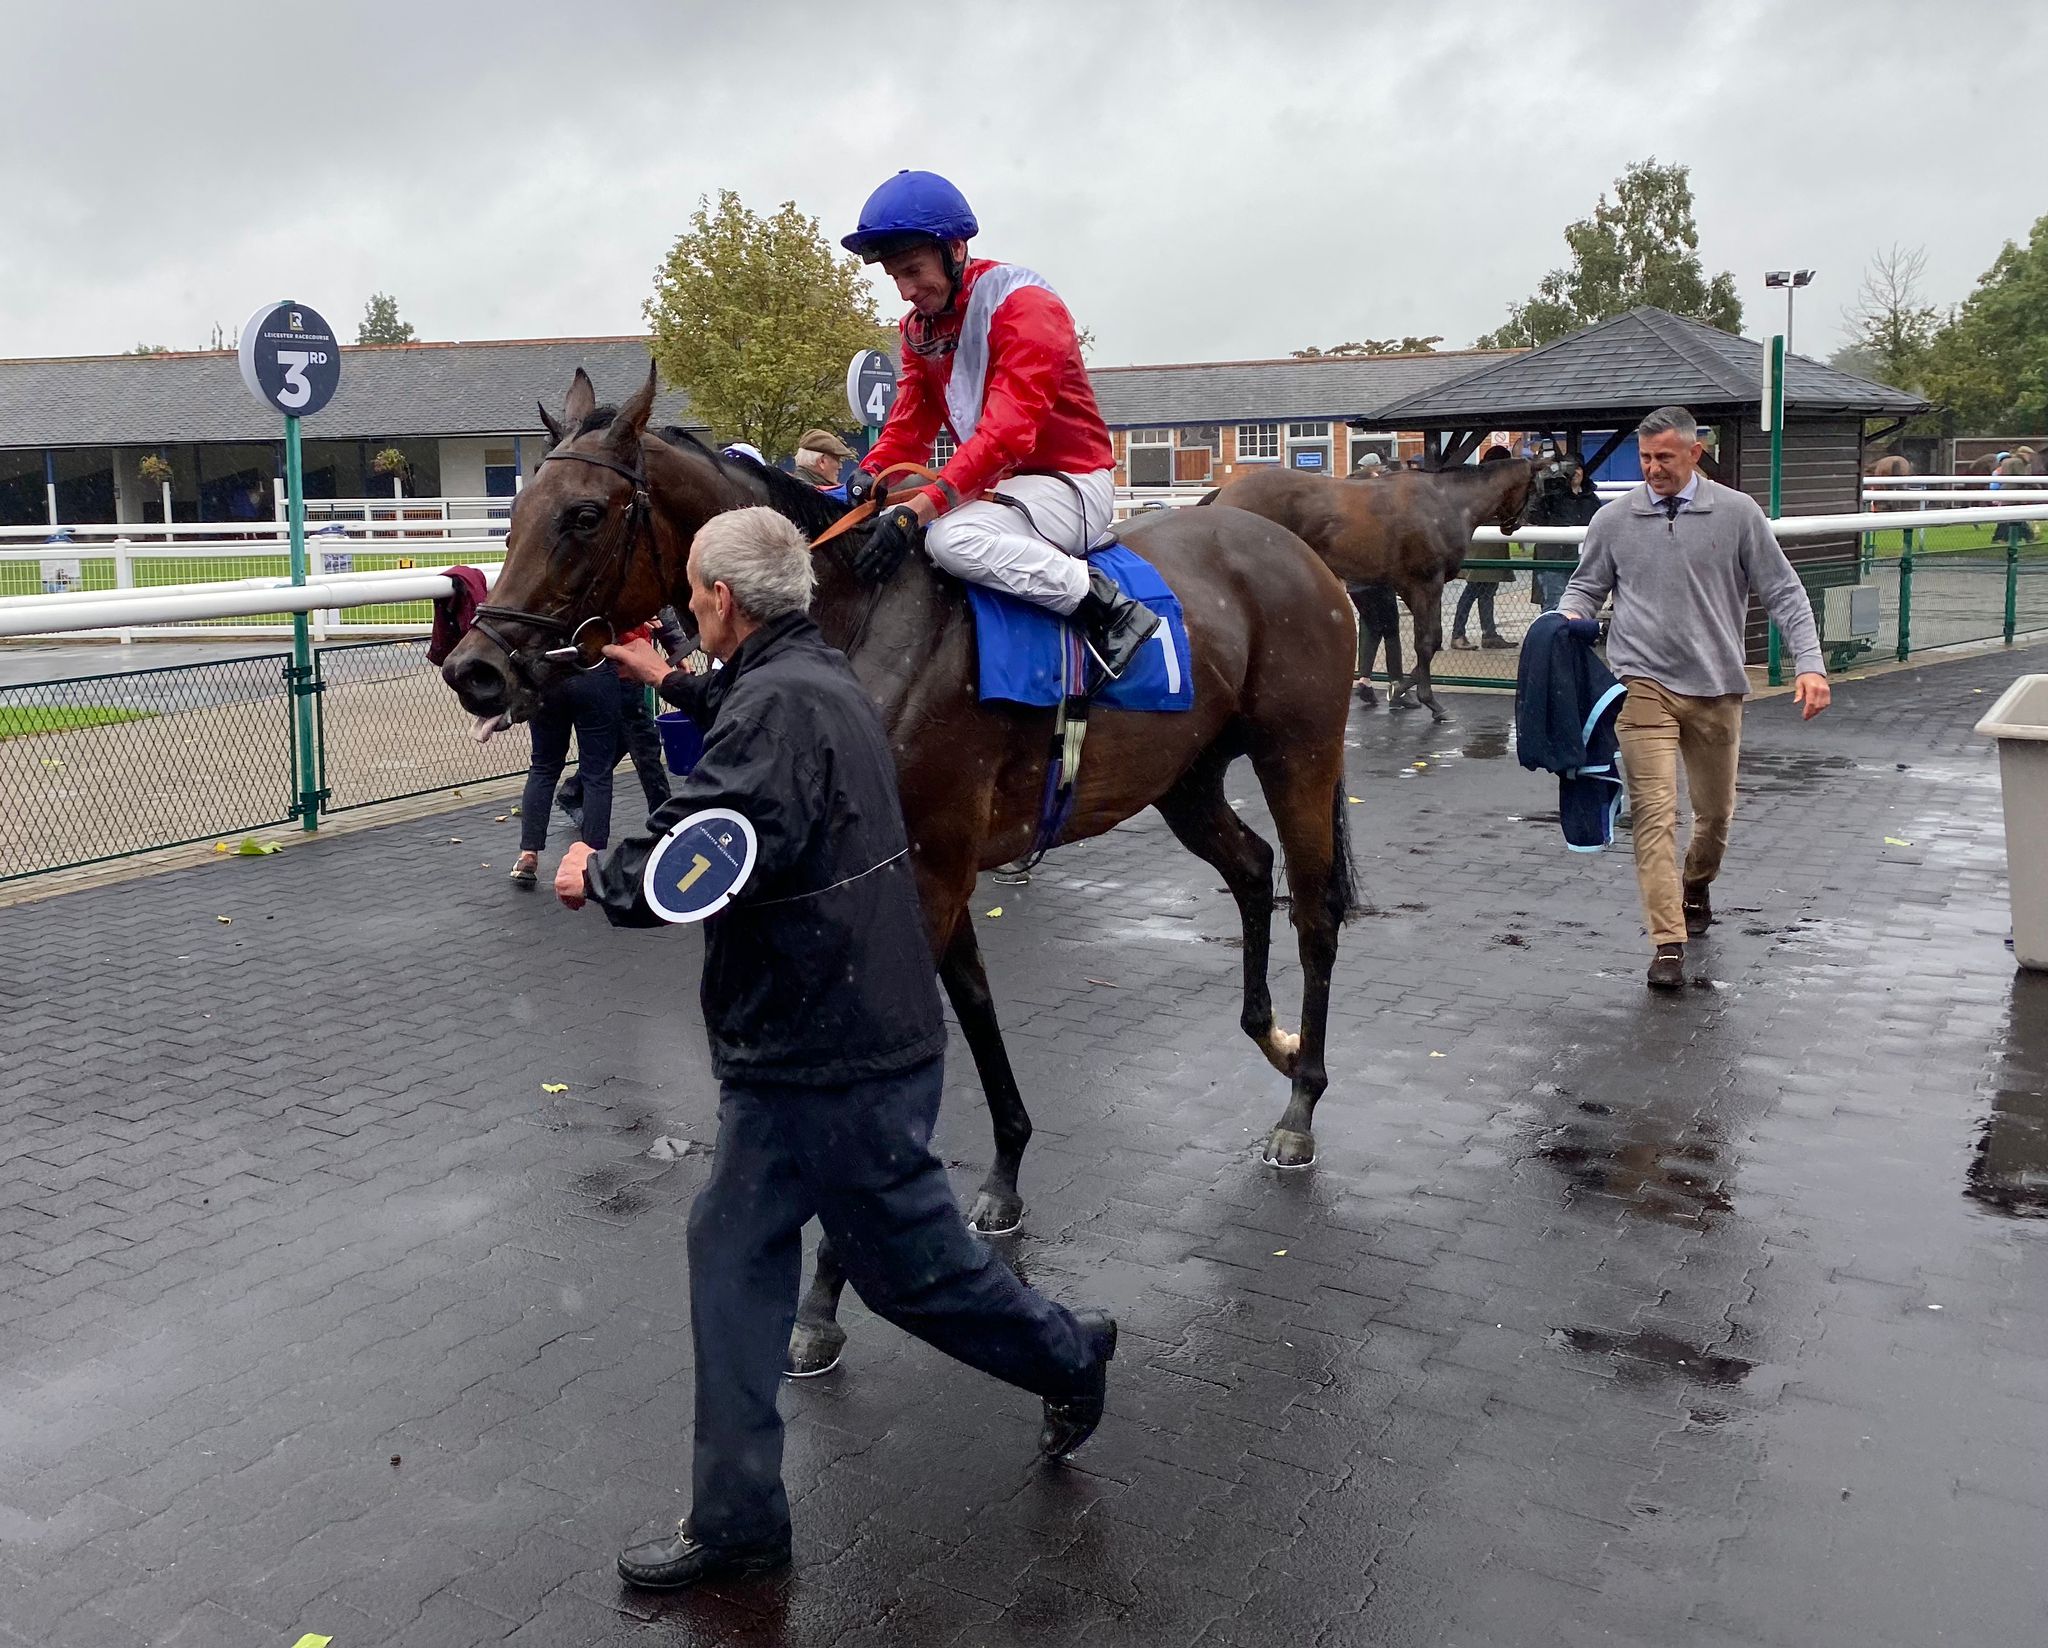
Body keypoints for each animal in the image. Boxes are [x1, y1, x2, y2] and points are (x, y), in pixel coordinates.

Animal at [442, 366, 1368, 1367]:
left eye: (581, 515)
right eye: (512, 511)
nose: (474, 671)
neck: (853, 629)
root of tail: (1289, 545)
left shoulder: (929, 868)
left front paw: (821, 1299)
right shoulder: (929, 867)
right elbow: (975, 1006)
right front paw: (1003, 1175)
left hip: (1298, 754)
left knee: (1313, 910)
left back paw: (1301, 1106)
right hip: (1184, 777)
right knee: (1251, 869)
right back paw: (1271, 1037)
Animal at [1196, 456, 1540, 712]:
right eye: (1537, 487)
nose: (1517, 525)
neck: (1445, 501)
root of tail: (1224, 493)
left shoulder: (1411, 585)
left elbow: (1429, 639)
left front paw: (1402, 688)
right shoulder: (1425, 583)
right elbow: (1426, 642)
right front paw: (1426, 699)